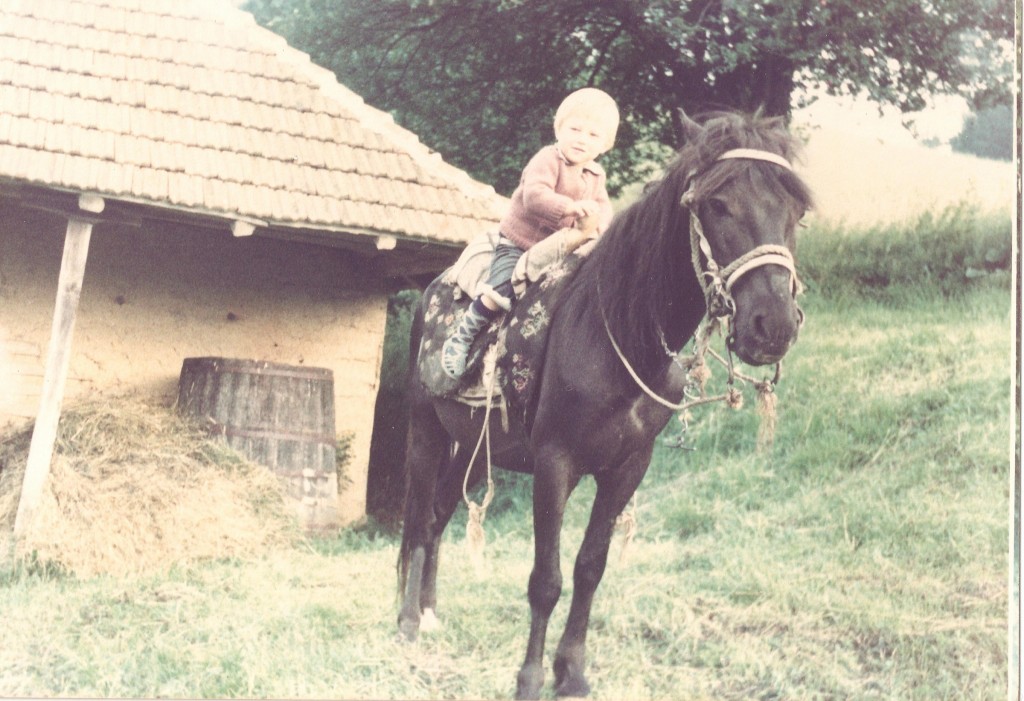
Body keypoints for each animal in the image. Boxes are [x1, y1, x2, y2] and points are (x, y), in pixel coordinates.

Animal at [396, 110, 814, 700]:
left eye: (795, 210)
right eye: (716, 204)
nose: (773, 326)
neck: (618, 334)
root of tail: (434, 289)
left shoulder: (627, 468)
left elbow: (590, 568)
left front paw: (571, 672)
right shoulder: (555, 464)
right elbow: (546, 580)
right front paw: (530, 678)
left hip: (474, 449)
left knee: (435, 518)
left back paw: (431, 612)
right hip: (424, 431)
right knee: (415, 521)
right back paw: (408, 620)